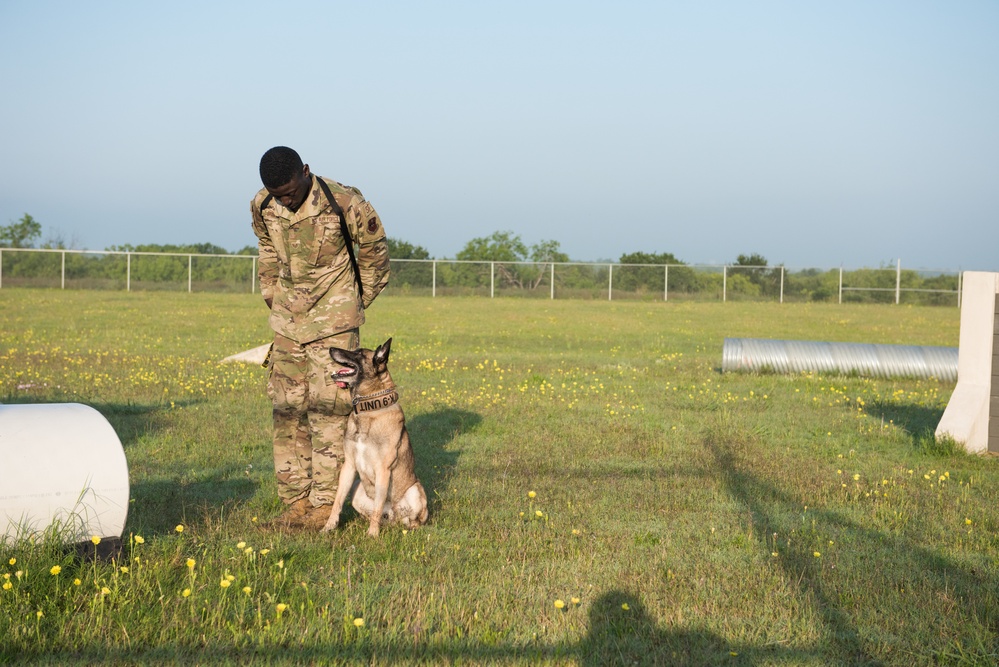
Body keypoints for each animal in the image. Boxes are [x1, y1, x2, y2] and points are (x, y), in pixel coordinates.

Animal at [322, 340, 428, 536]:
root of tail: (393, 516)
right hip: (357, 490)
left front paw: (372, 535)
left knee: (413, 520)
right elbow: (337, 501)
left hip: (415, 490)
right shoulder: (349, 466)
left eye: (358, 353)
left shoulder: (383, 470)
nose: (331, 348)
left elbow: (378, 507)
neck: (369, 409)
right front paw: (329, 527)